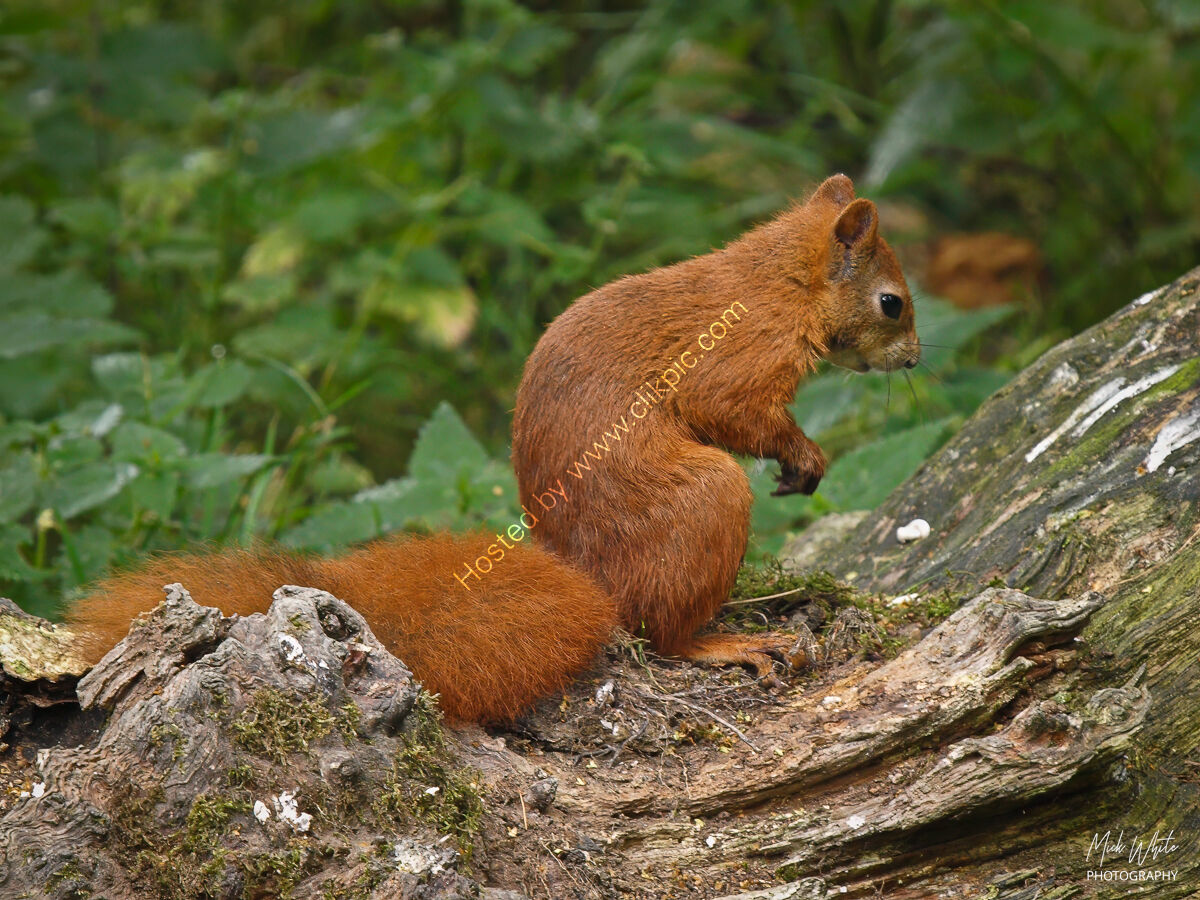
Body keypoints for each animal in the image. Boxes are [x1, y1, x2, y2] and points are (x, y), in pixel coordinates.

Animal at [66, 174, 918, 724]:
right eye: (891, 303)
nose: (914, 362)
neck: (781, 282)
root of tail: (587, 577)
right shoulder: (738, 354)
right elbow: (730, 409)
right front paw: (804, 456)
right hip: (709, 498)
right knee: (662, 634)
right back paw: (730, 639)